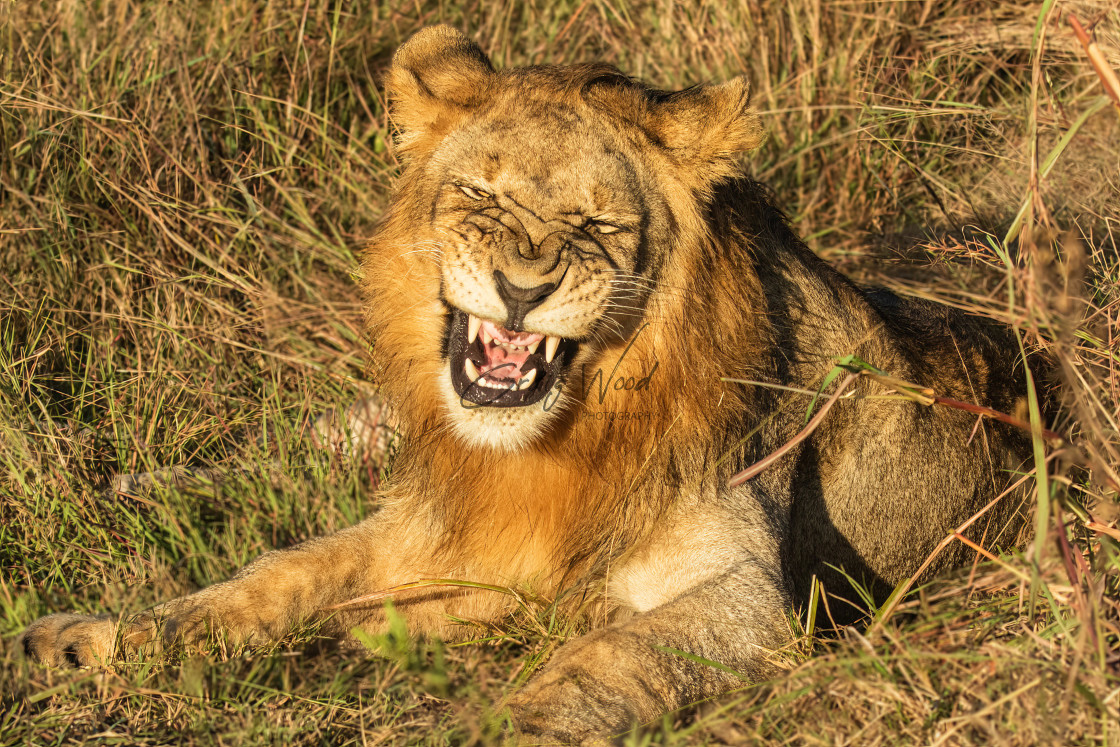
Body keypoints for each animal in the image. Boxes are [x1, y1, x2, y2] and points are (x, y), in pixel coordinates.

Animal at [21, 26, 1039, 743]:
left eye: (596, 222)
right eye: (481, 194)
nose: (523, 287)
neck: (553, 441)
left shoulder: (749, 593)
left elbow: (606, 657)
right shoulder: (436, 522)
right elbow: (278, 574)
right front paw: (100, 640)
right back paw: (133, 485)